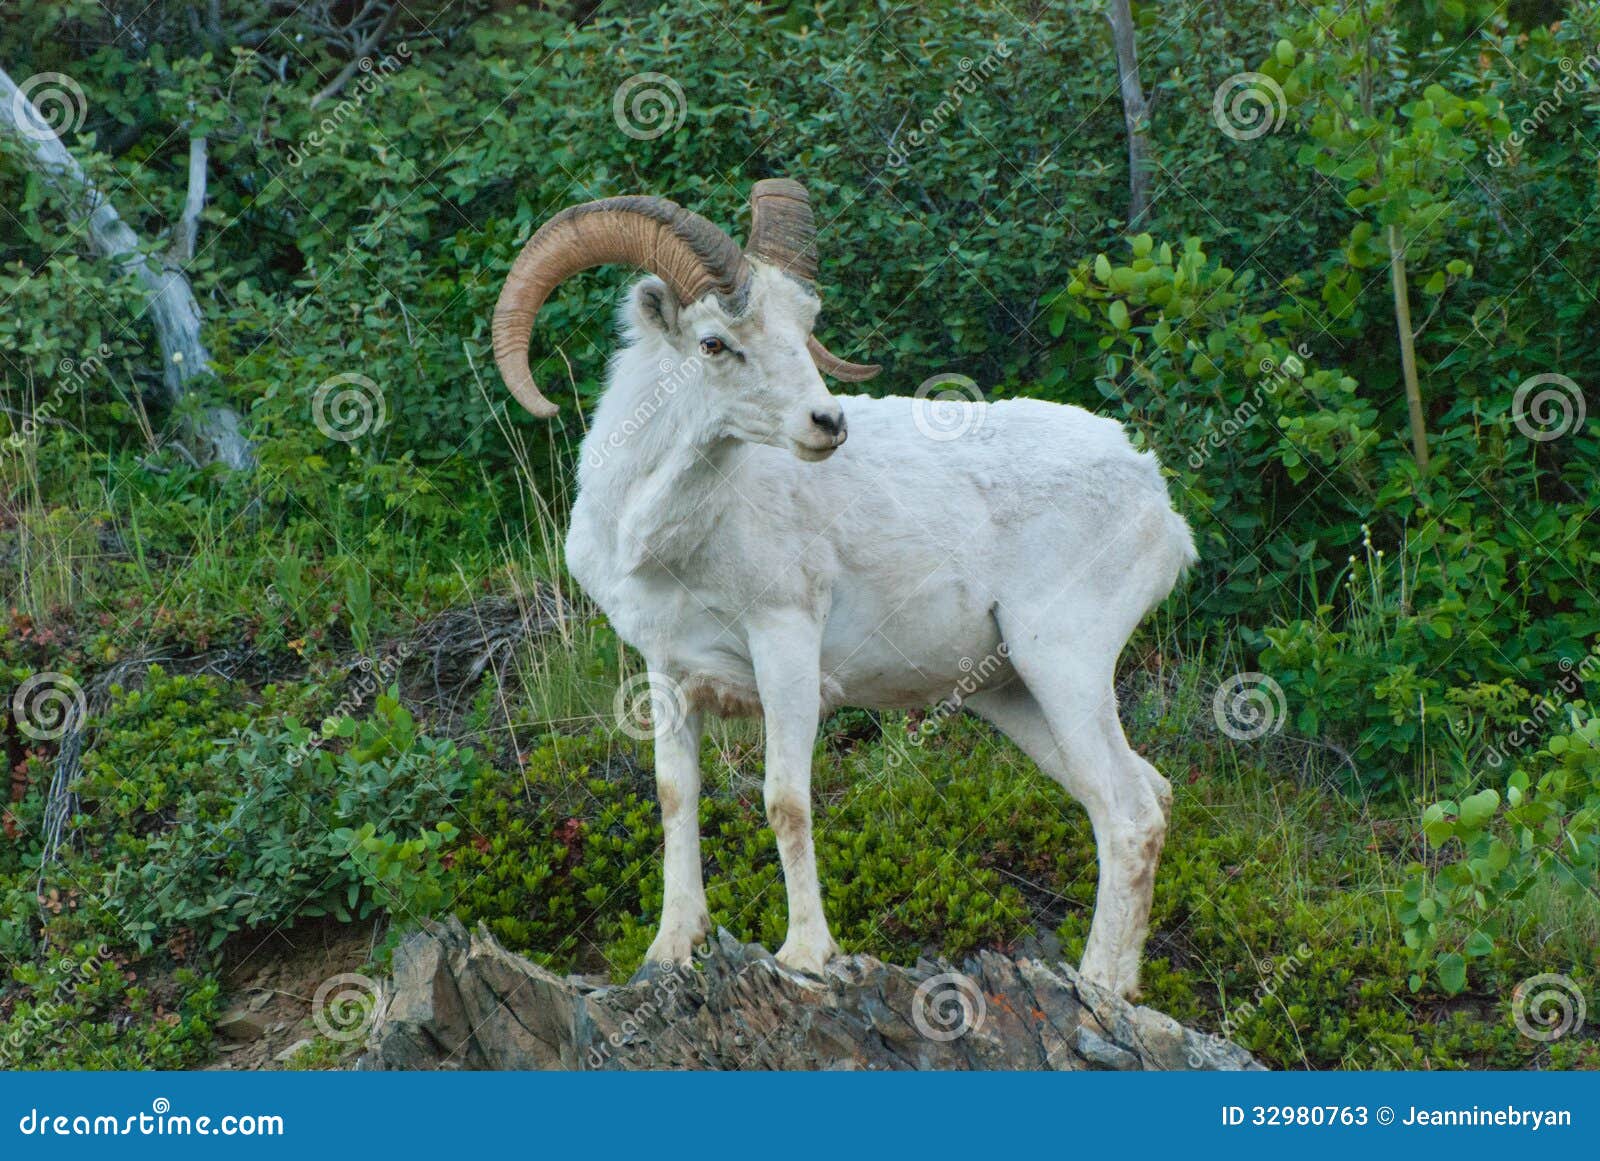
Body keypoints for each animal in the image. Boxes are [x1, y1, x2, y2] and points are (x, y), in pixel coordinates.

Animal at [490, 180, 1196, 999]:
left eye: (803, 330)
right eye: (713, 343)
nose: (827, 423)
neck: (671, 539)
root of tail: (1154, 495)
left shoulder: (787, 651)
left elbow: (786, 803)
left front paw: (805, 955)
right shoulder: (668, 675)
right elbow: (675, 798)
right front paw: (670, 950)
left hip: (1065, 663)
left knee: (1130, 814)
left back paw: (1098, 987)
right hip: (1015, 692)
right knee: (1140, 798)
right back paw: (1121, 984)